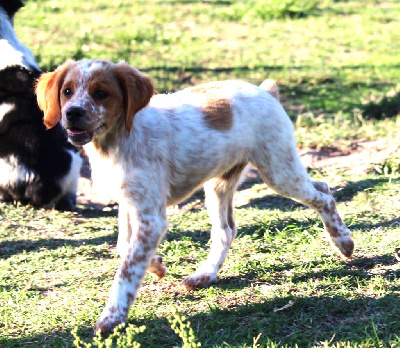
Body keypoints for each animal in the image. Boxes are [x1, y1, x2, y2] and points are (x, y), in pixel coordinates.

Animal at [34, 59, 354, 334]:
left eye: (101, 93)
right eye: (67, 91)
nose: (73, 113)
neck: (118, 140)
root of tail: (266, 91)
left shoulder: (150, 216)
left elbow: (126, 269)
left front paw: (112, 317)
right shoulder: (130, 203)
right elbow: (125, 248)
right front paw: (157, 265)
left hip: (278, 170)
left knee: (324, 193)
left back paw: (344, 241)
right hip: (220, 184)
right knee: (227, 230)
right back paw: (205, 274)